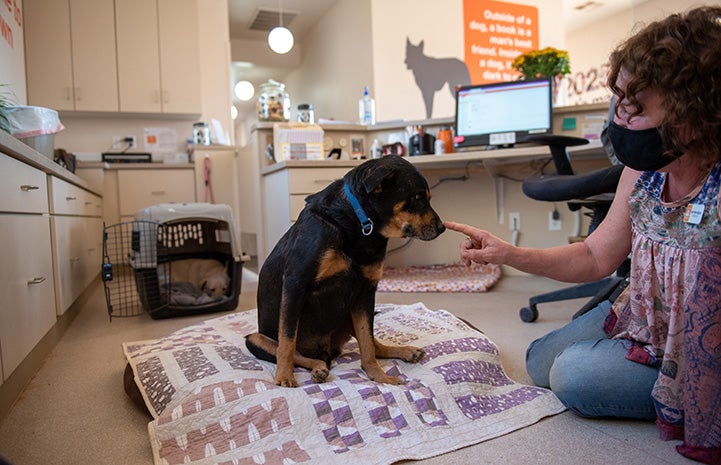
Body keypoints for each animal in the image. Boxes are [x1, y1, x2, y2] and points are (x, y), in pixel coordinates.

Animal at [245, 154, 442, 386]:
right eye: (418, 197)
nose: (442, 228)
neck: (358, 223)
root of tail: (326, 350)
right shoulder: (295, 285)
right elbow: (286, 341)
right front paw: (284, 376)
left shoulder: (365, 293)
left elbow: (367, 344)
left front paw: (379, 376)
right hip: (254, 339)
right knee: (293, 353)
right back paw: (317, 368)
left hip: (348, 315)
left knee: (374, 345)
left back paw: (405, 352)